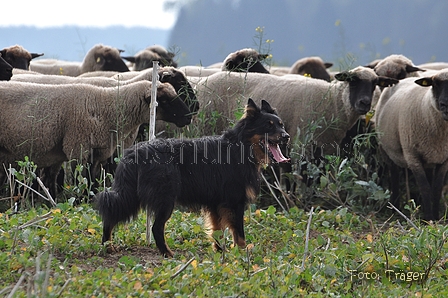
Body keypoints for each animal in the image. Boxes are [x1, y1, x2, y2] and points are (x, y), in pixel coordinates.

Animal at [0, 79, 191, 196]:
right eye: (163, 100)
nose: (189, 117)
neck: (106, 108)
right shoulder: (77, 149)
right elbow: (80, 179)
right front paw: (78, 201)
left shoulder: (99, 153)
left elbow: (91, 180)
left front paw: (89, 199)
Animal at [95, 98, 290, 256]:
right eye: (269, 125)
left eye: (281, 124)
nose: (286, 137)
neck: (241, 146)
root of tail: (134, 153)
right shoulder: (235, 202)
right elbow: (239, 233)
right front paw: (242, 253)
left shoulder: (216, 203)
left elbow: (218, 231)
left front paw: (221, 253)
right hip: (165, 199)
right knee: (156, 227)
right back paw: (167, 253)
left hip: (133, 195)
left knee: (111, 214)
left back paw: (107, 246)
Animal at [194, 66, 398, 157]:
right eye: (352, 81)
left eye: (375, 84)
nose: (365, 103)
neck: (333, 101)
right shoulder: (303, 143)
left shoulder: (329, 146)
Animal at [376, 68, 448, 220]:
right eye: (435, 84)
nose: (445, 105)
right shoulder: (412, 156)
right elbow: (424, 188)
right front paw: (428, 219)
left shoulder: (445, 159)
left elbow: (436, 188)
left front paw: (435, 216)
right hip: (386, 150)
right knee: (394, 177)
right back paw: (395, 208)